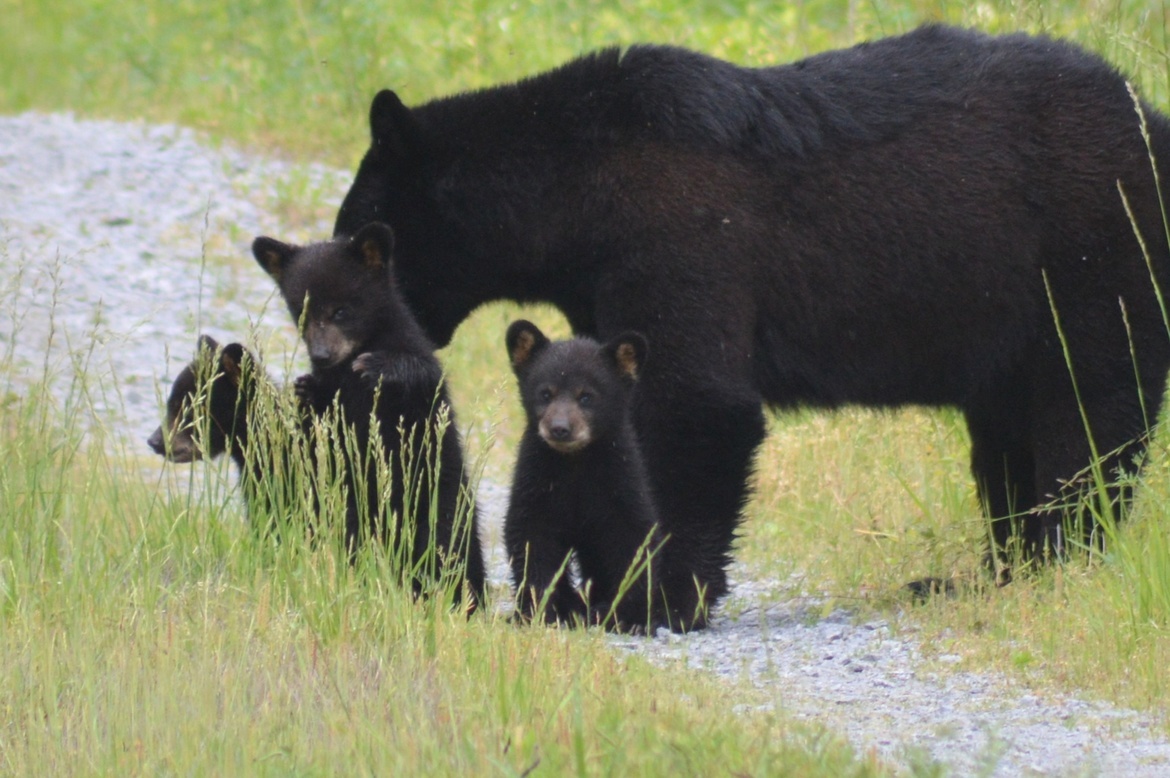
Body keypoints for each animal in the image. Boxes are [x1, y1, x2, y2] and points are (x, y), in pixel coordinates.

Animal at [252, 221, 486, 608]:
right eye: (301, 311)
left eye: (341, 310)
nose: (322, 354)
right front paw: (305, 389)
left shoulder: (418, 382)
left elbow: (421, 375)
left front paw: (378, 367)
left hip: (435, 494)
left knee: (448, 543)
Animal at [332, 24, 1170, 595]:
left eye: (359, 233)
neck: (574, 191)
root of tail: (1155, 122)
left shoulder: (677, 244)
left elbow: (694, 405)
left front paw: (664, 595)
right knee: (1007, 438)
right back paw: (985, 577)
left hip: (1089, 259)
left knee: (1087, 412)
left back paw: (1056, 560)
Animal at [503, 320, 707, 632]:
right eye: (545, 393)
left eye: (586, 396)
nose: (560, 428)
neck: (575, 463)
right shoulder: (536, 480)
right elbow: (530, 536)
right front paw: (540, 611)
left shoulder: (619, 481)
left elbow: (633, 540)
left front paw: (625, 615)